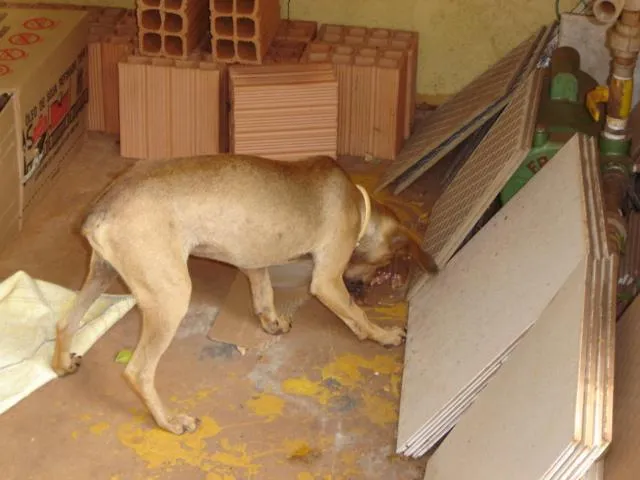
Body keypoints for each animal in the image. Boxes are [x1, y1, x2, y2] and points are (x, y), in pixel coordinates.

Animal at [52, 153, 438, 436]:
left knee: (64, 323)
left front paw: (271, 321)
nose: (363, 286)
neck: (359, 205)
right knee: (138, 371)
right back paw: (170, 421)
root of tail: (101, 209)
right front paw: (383, 334)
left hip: (101, 273)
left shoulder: (253, 261)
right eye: (386, 262)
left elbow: (263, 292)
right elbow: (356, 315)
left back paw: (63, 363)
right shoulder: (327, 281)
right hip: (170, 296)